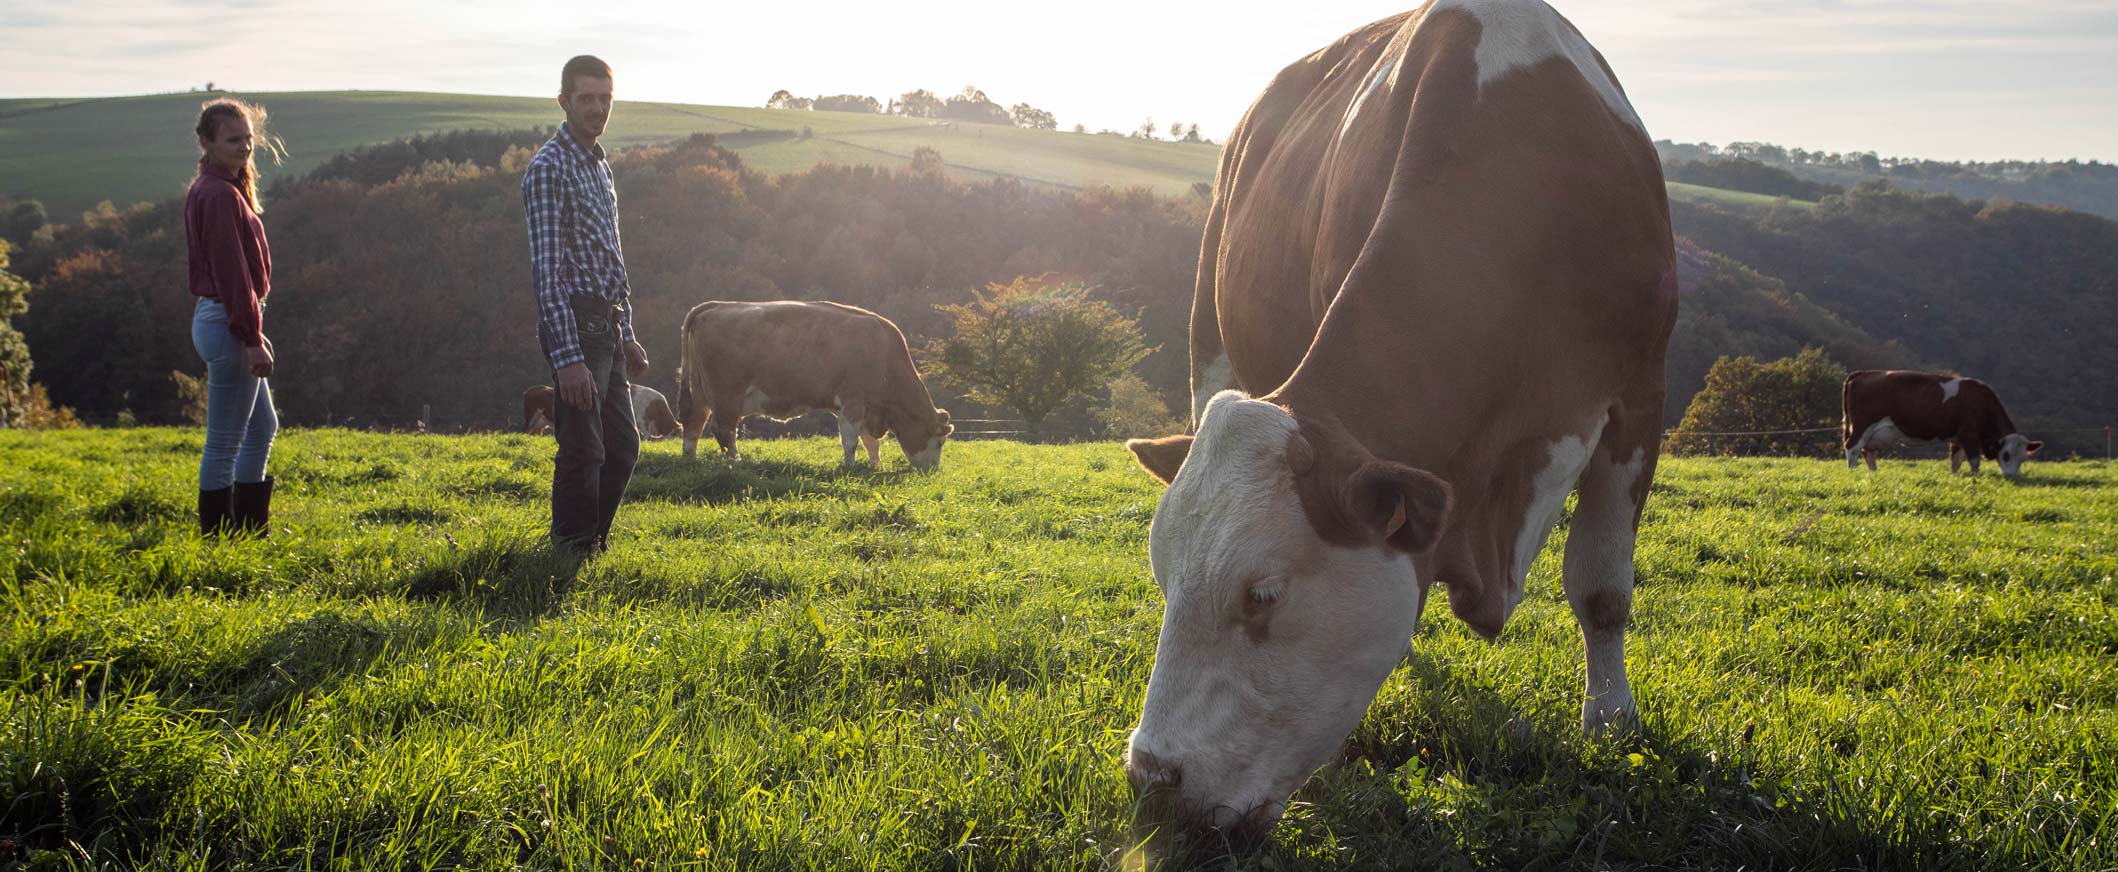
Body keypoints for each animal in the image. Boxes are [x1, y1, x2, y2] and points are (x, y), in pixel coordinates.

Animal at [673, 300, 957, 469]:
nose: (932, 471)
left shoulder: (868, 409)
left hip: (701, 393)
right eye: (940, 442)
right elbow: (851, 440)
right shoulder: (852, 401)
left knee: (694, 424)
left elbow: (870, 441)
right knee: (723, 429)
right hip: (726, 395)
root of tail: (715, 307)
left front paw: (875, 466)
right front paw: (850, 467)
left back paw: (690, 458)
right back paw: (736, 461)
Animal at [1118, 0, 1677, 846]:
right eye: (1163, 581)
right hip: (1207, 336)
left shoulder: (1640, 391)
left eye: (1262, 596)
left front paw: (1613, 725)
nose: (1153, 779)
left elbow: (1603, 588)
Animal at [1846, 368, 2041, 476]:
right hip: (1862, 425)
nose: (2011, 477)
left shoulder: (1958, 439)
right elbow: (1974, 461)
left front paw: (1955, 476)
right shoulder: (1969, 434)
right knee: (1852, 447)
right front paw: (1975, 476)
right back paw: (1853, 471)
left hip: (1874, 434)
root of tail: (1863, 373)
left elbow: (1956, 461)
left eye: (2023, 459)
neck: (1982, 402)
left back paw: (1874, 473)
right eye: (2005, 455)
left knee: (1868, 452)